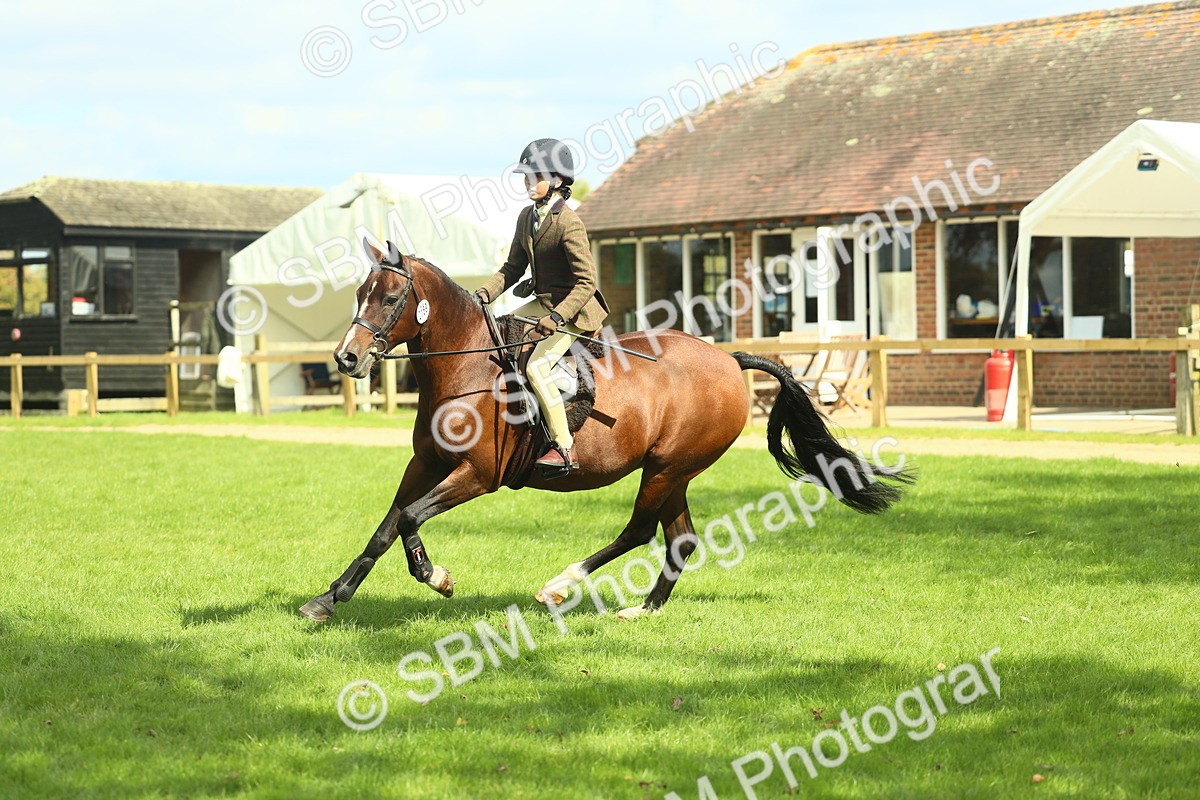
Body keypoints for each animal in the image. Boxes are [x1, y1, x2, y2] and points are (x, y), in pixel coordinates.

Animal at [298, 242, 914, 622]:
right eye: (359, 294)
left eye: (390, 297)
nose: (346, 358)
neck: (466, 370)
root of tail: (727, 360)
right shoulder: (424, 465)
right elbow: (386, 527)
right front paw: (331, 598)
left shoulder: (476, 475)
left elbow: (408, 519)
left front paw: (437, 577)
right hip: (674, 472)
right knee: (679, 538)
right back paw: (643, 609)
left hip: (666, 467)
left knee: (640, 531)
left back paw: (560, 584)